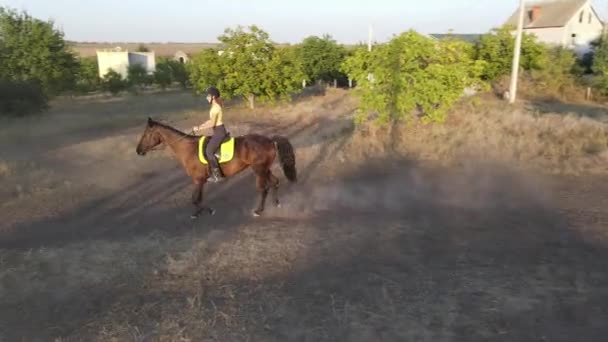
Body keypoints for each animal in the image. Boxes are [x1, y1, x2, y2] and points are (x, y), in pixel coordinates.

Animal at [138, 117, 300, 218]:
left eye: (146, 134)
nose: (138, 150)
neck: (188, 149)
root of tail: (270, 141)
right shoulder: (200, 181)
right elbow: (198, 198)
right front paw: (197, 213)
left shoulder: (198, 180)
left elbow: (194, 199)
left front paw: (209, 211)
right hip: (265, 169)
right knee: (275, 182)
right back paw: (277, 204)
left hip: (259, 170)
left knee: (263, 189)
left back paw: (258, 211)